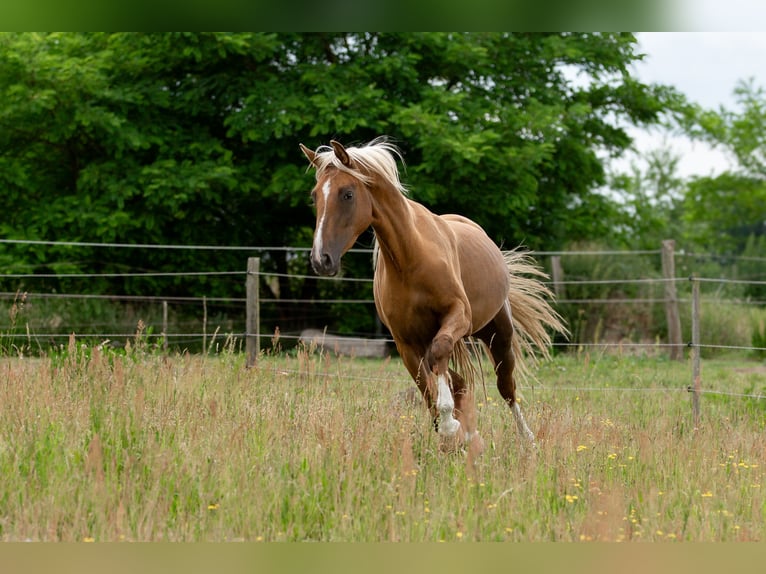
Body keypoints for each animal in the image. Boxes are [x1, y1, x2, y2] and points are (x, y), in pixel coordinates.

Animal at [299, 137, 567, 452]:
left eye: (347, 194)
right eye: (315, 196)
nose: (321, 260)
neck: (410, 259)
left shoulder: (458, 315)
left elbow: (438, 356)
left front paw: (451, 425)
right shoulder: (405, 341)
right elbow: (426, 386)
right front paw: (451, 432)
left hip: (499, 335)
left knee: (506, 387)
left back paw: (528, 440)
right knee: (457, 379)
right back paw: (470, 434)